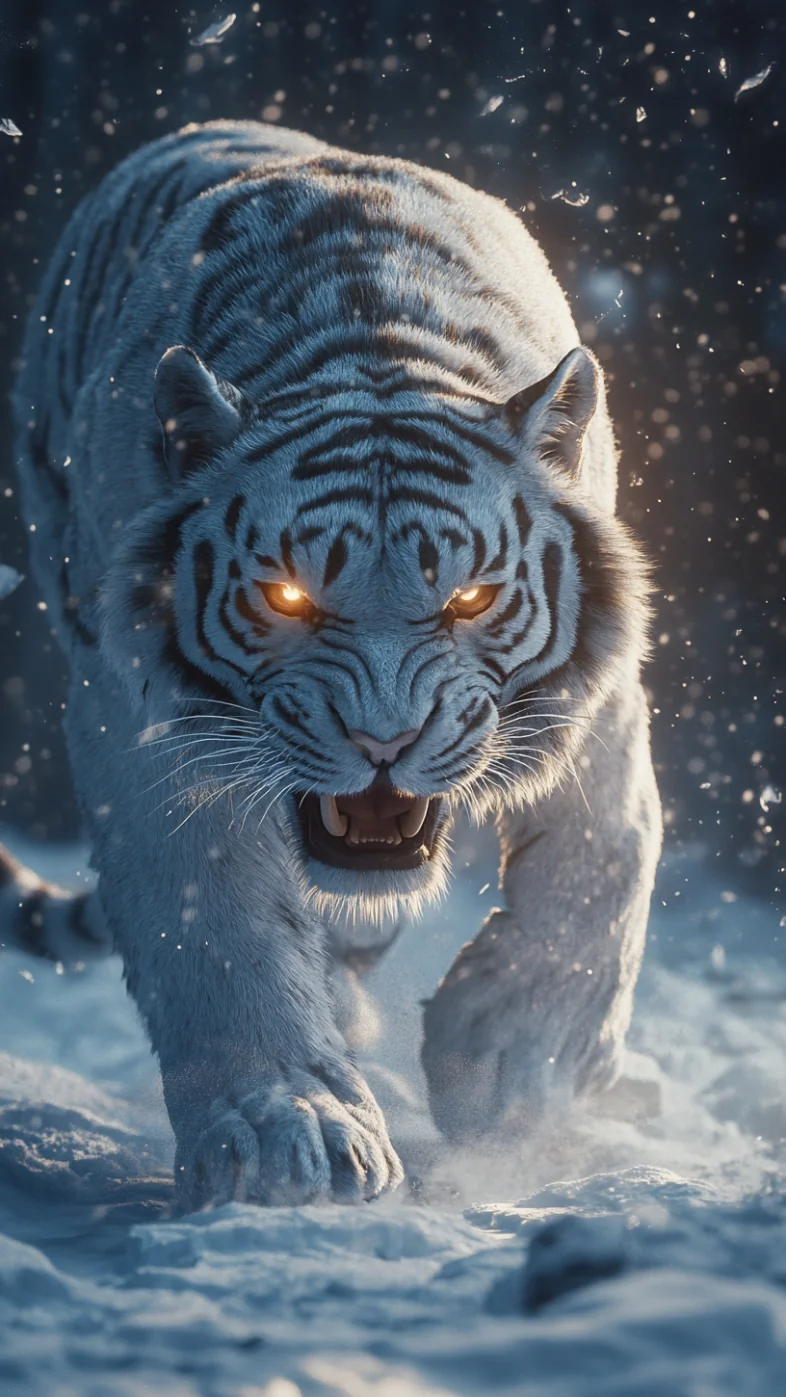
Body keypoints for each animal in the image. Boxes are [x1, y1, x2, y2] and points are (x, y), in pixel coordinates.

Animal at [7, 120, 661, 1208]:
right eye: (287, 597)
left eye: (470, 597)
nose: (384, 742)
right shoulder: (141, 722)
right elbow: (216, 923)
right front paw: (287, 1135)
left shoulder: (596, 696)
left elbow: (606, 853)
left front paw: (509, 1066)